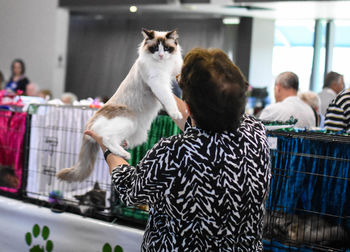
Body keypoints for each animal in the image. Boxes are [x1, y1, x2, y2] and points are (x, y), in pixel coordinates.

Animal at [56, 28, 183, 182]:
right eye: (154, 48)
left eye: (166, 48)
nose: (160, 55)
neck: (163, 65)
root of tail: (90, 122)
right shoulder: (158, 83)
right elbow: (169, 99)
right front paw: (176, 113)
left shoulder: (173, 72)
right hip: (129, 122)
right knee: (106, 139)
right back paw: (125, 154)